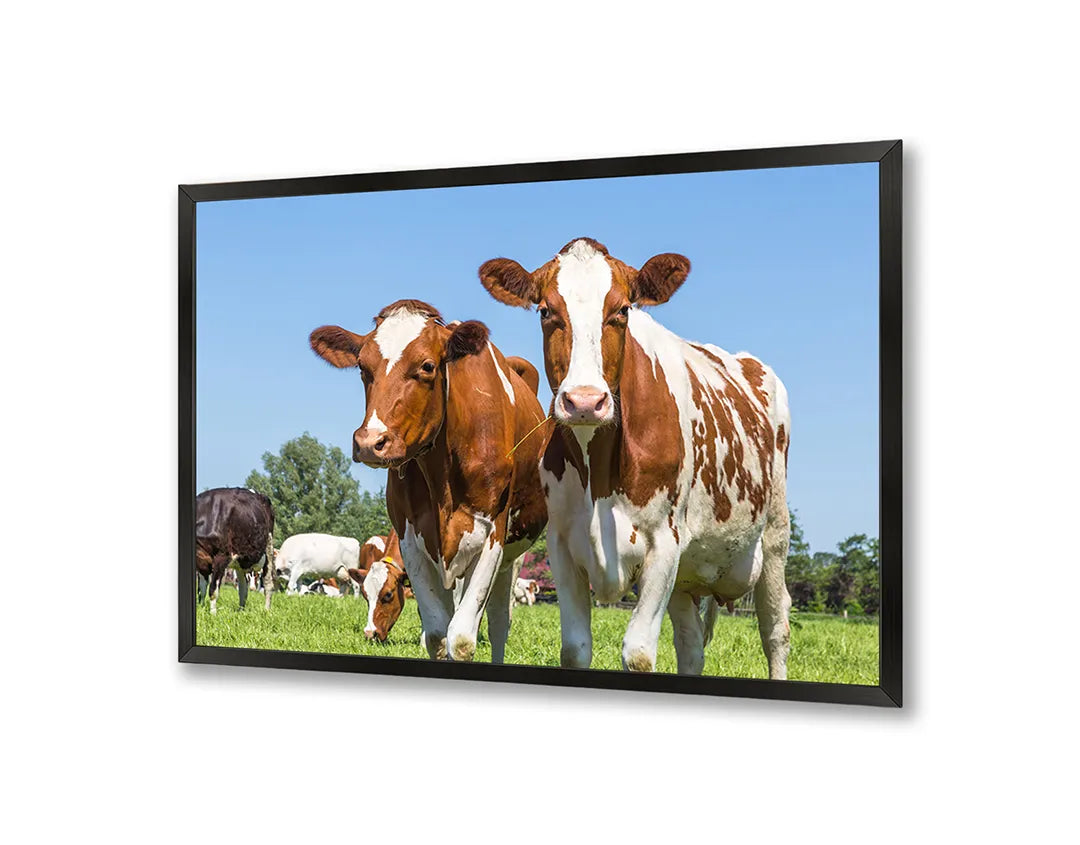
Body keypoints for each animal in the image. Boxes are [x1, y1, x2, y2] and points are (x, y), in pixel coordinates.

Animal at [310, 299, 548, 662]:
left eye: (427, 366)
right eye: (363, 367)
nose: (370, 442)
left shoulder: (491, 535)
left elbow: (461, 638)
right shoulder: (413, 539)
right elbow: (437, 632)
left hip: (513, 555)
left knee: (499, 621)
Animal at [479, 238, 792, 677]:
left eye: (623, 310)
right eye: (545, 310)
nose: (585, 402)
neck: (599, 477)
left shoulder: (665, 543)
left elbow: (640, 654)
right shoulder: (562, 544)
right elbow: (575, 649)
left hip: (775, 536)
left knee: (775, 630)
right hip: (688, 575)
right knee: (691, 646)